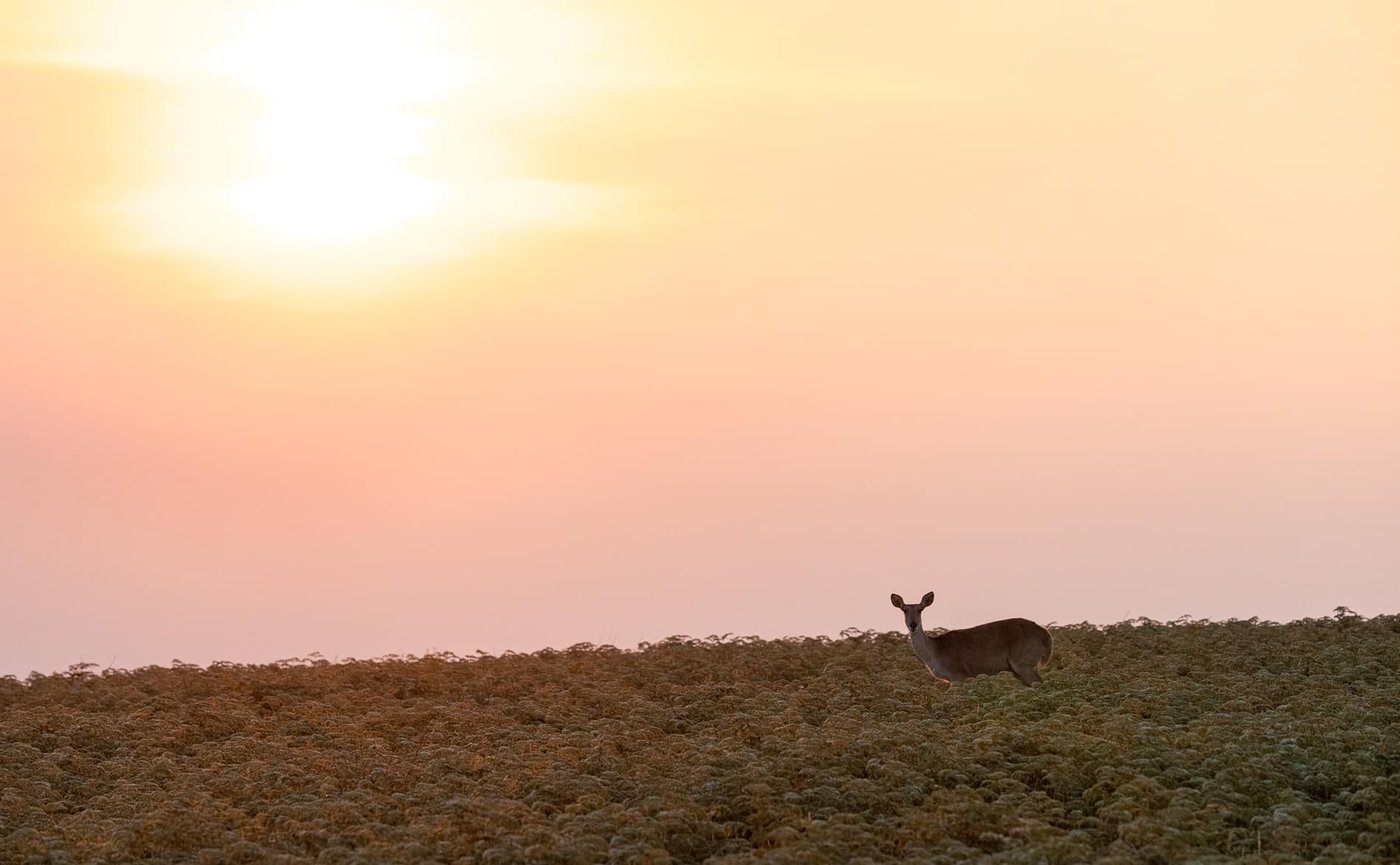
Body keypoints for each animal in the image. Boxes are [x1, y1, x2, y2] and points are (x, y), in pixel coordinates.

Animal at [890, 591, 1052, 686]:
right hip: (1017, 669)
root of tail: (1046, 635)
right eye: (904, 610)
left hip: (1024, 662)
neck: (935, 652)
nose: (913, 625)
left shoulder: (957, 675)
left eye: (920, 609)